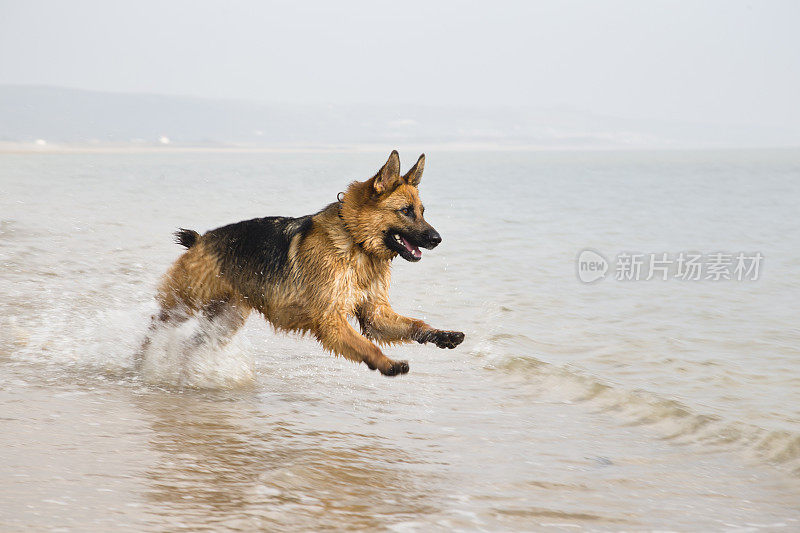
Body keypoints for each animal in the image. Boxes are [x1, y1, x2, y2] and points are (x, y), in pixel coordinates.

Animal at [144, 150, 466, 376]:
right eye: (406, 211)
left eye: (422, 211)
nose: (437, 239)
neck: (355, 241)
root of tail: (200, 240)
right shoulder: (331, 320)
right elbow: (367, 346)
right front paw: (388, 364)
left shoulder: (375, 315)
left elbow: (414, 324)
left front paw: (442, 335)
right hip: (182, 306)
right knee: (155, 329)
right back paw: (142, 362)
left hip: (225, 321)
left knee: (192, 344)